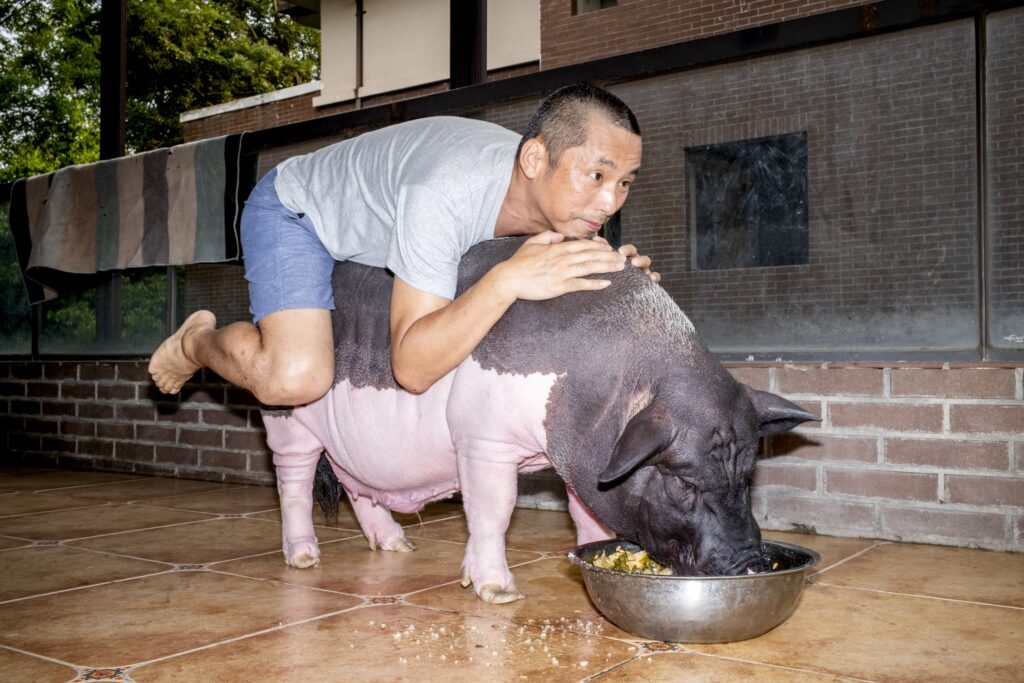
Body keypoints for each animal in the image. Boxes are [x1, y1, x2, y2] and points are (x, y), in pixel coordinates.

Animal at [263, 236, 818, 603]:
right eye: (683, 483)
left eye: (748, 475)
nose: (750, 564)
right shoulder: (481, 438)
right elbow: (495, 508)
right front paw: (496, 592)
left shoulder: (581, 457)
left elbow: (584, 510)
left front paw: (592, 551)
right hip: (287, 419)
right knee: (293, 481)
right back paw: (304, 558)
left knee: (357, 487)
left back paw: (399, 546)